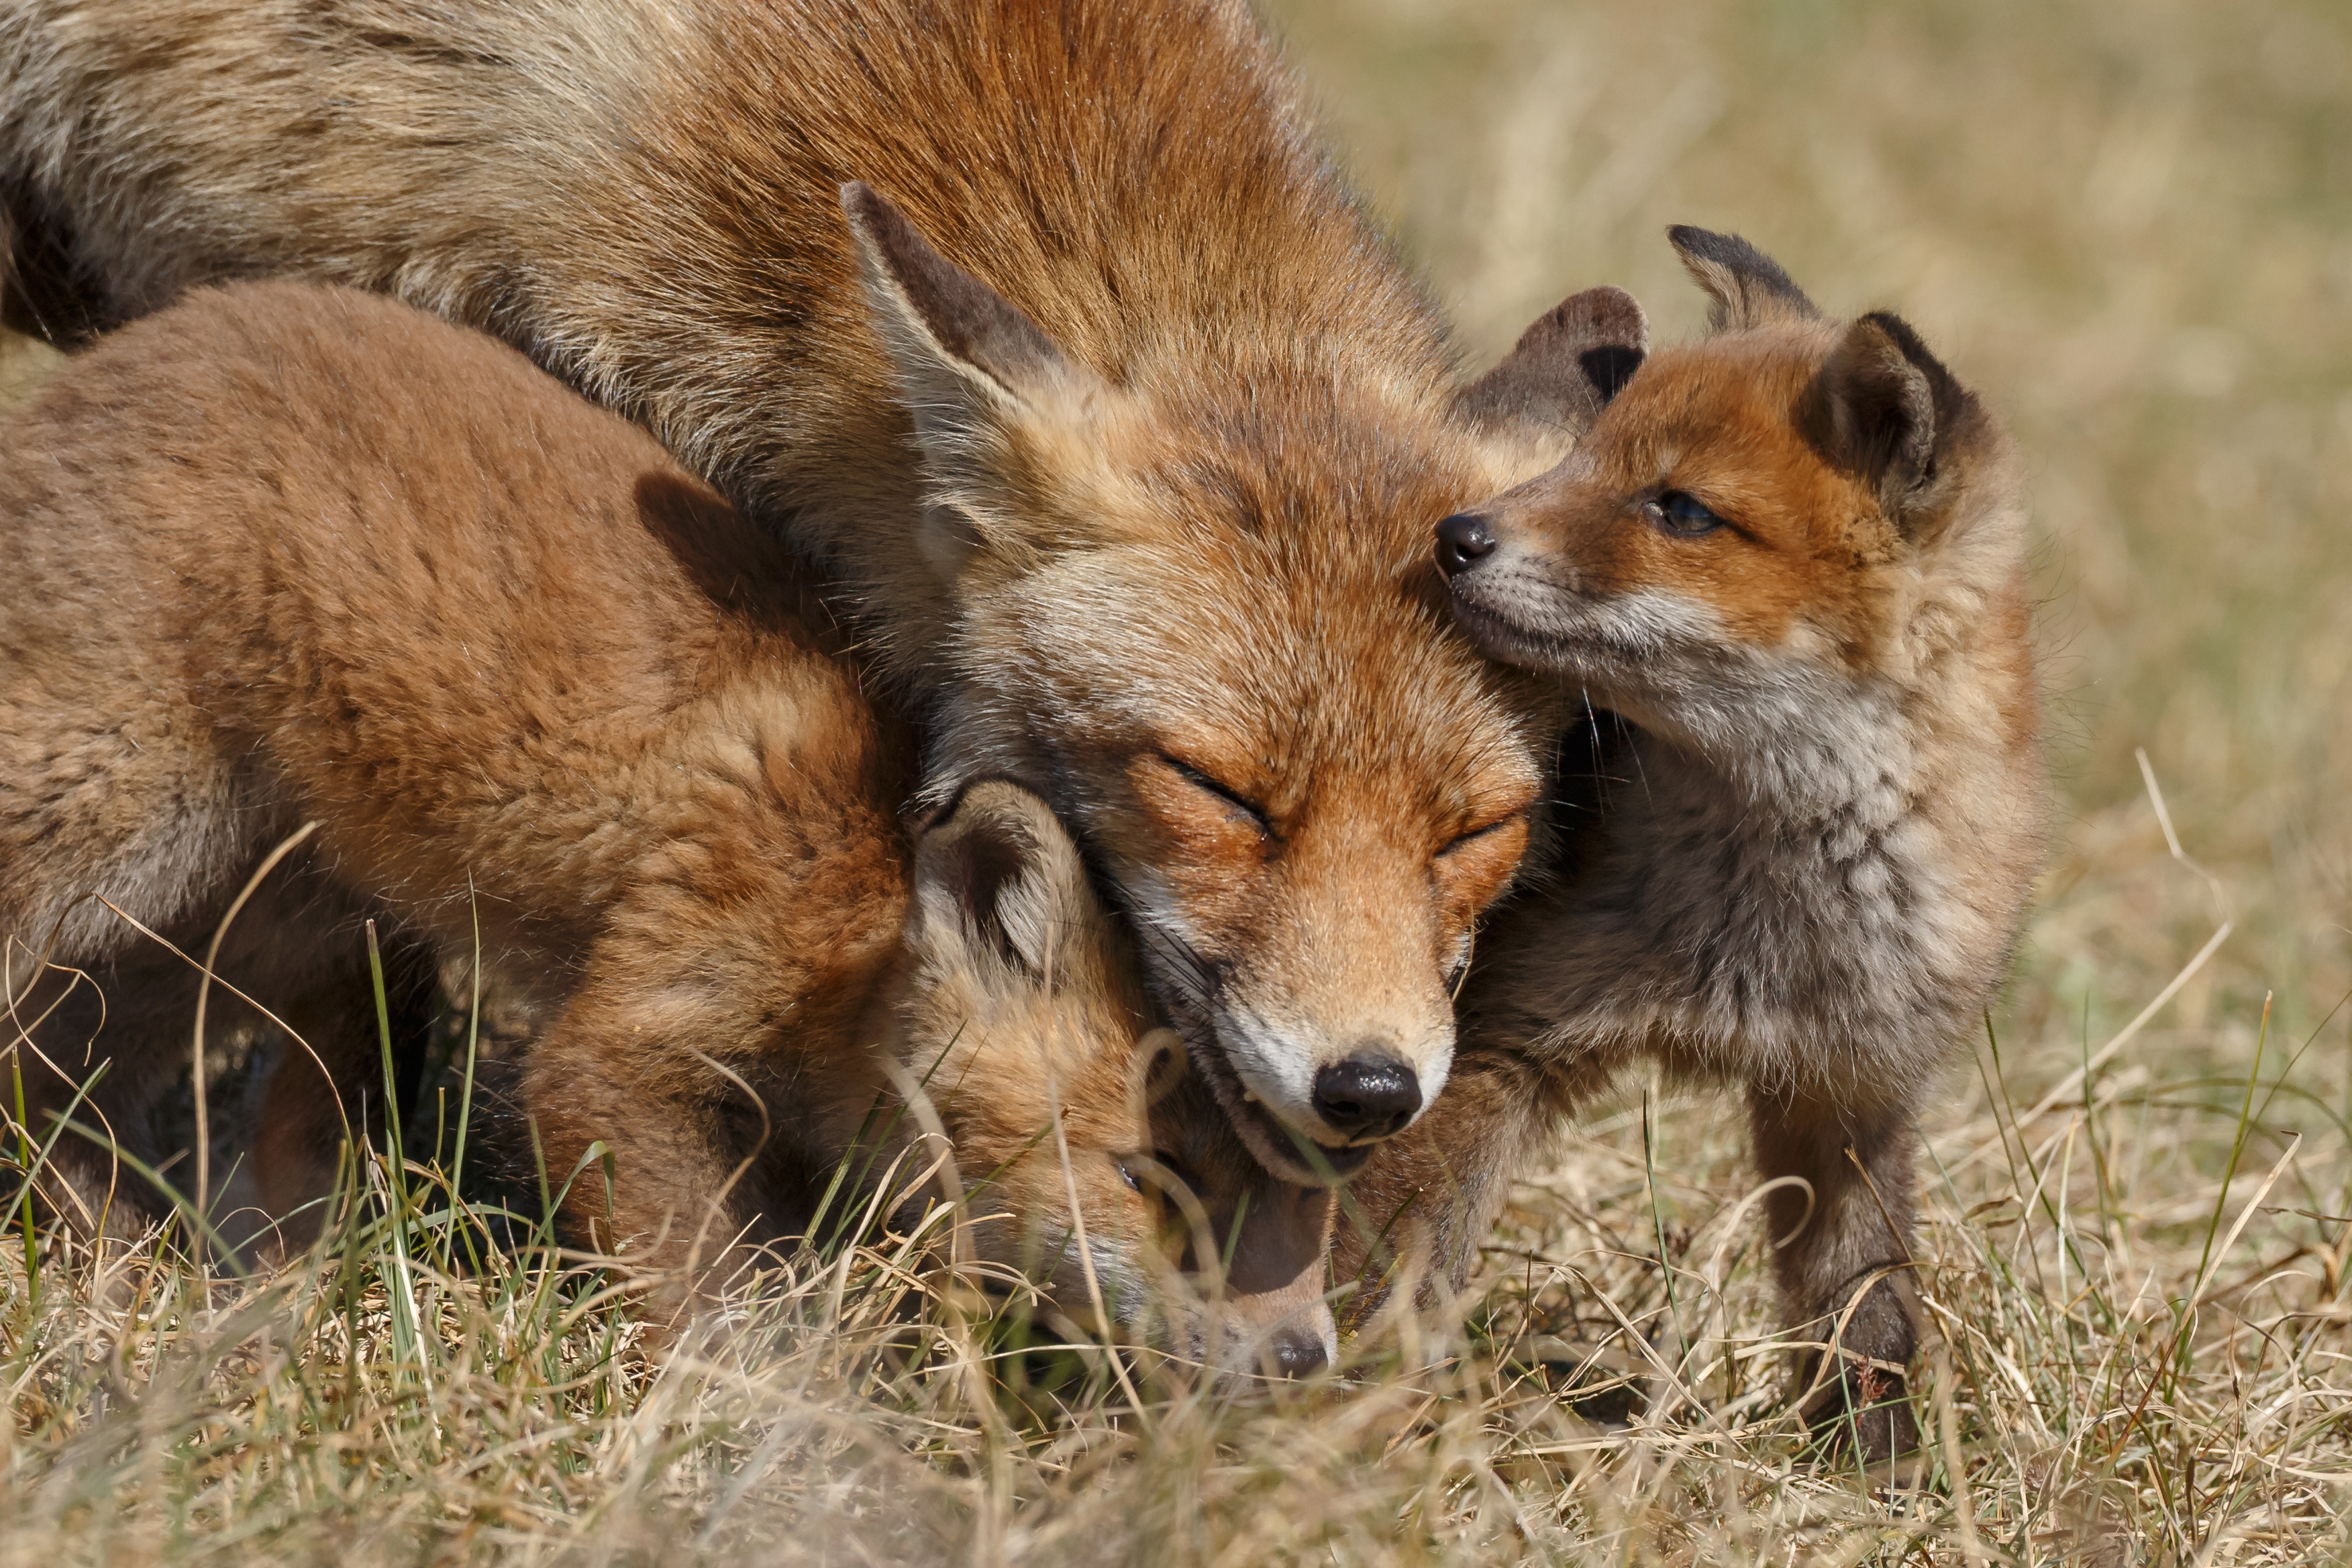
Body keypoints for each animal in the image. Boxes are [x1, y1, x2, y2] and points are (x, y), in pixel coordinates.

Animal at [0, 282, 1326, 1373]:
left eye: (1306, 1200)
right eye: (1152, 1178)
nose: (1306, 1357)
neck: (853, 906)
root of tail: (118, 354)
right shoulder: (620, 1049)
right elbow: (719, 1304)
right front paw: (789, 1437)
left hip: (245, 924)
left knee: (54, 1076)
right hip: (113, 819)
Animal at [1354, 227, 2051, 1457]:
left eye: (1679, 510)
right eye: (1582, 457)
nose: (1454, 536)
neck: (1771, 922)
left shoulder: (1850, 1091)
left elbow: (1867, 1312)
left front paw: (1873, 1473)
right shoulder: (1491, 1039)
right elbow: (1401, 1267)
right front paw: (1344, 1418)